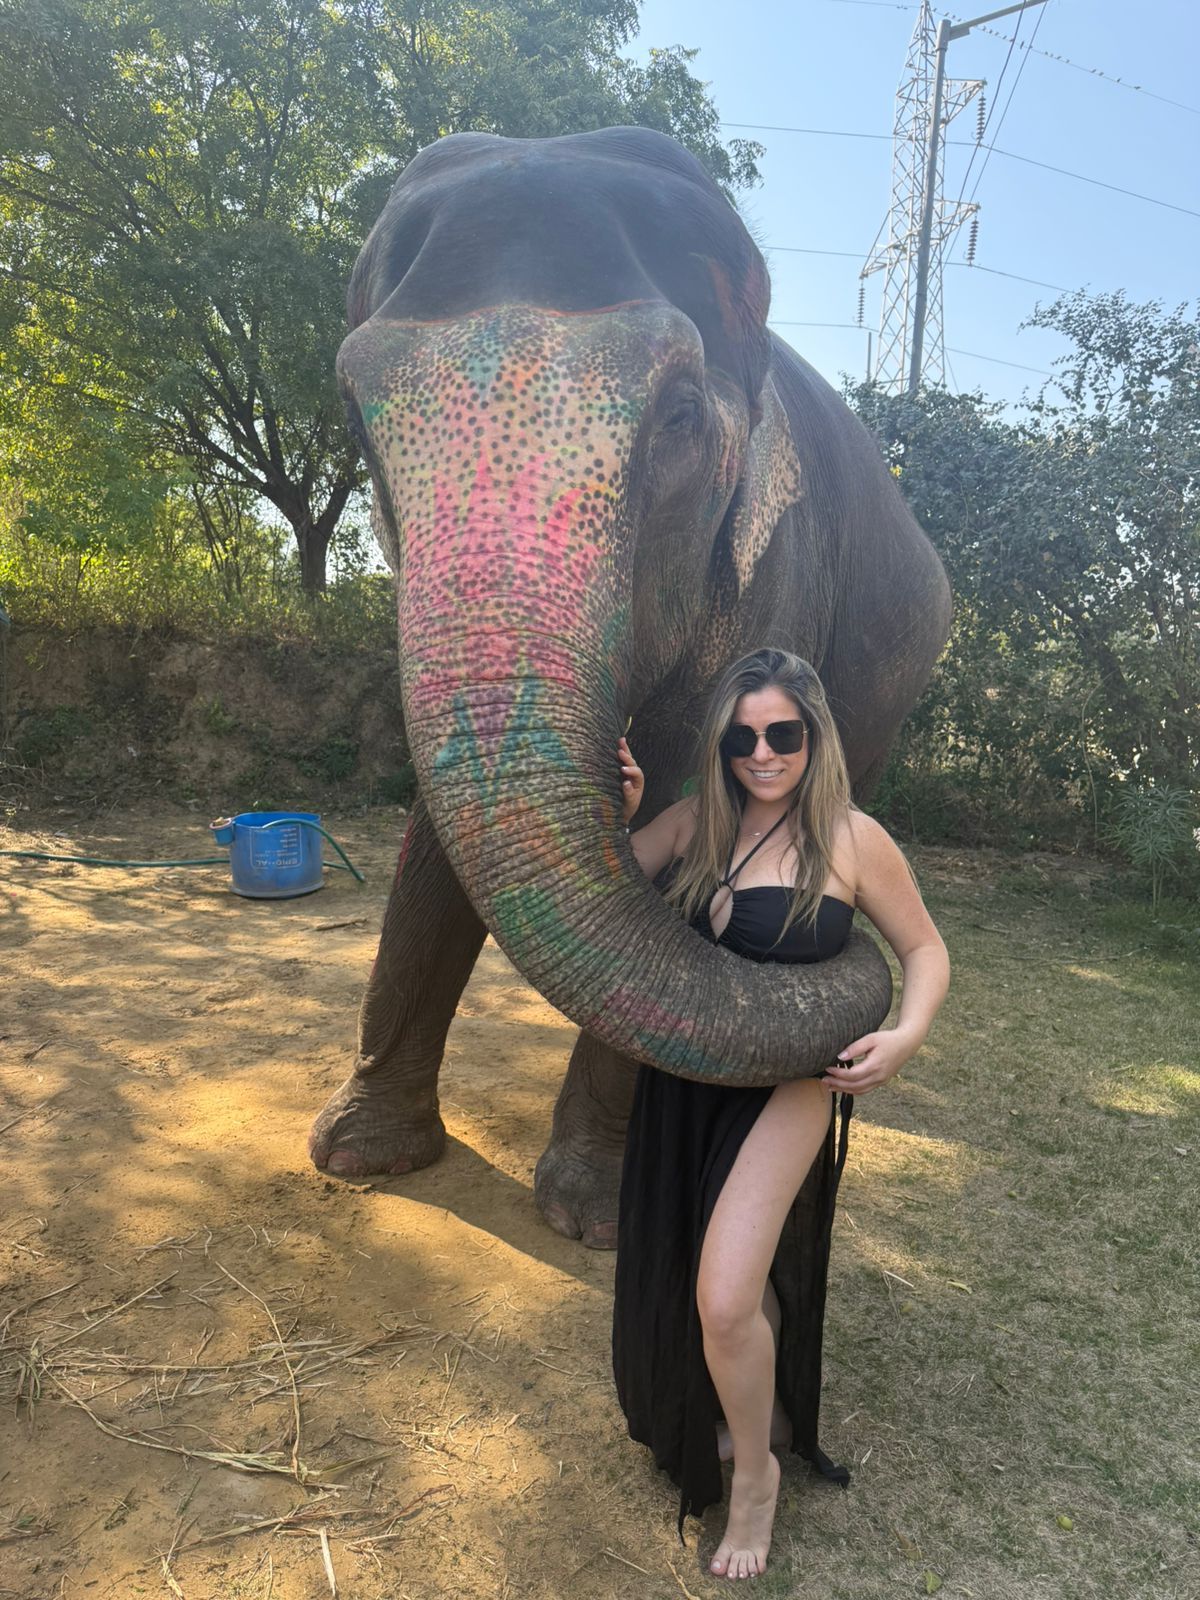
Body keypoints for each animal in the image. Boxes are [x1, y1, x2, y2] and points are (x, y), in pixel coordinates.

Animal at [308, 126, 951, 1247]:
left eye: (682, 416)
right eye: (354, 414)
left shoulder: (778, 571)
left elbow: (693, 806)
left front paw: (595, 1219)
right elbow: (440, 828)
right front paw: (361, 1155)